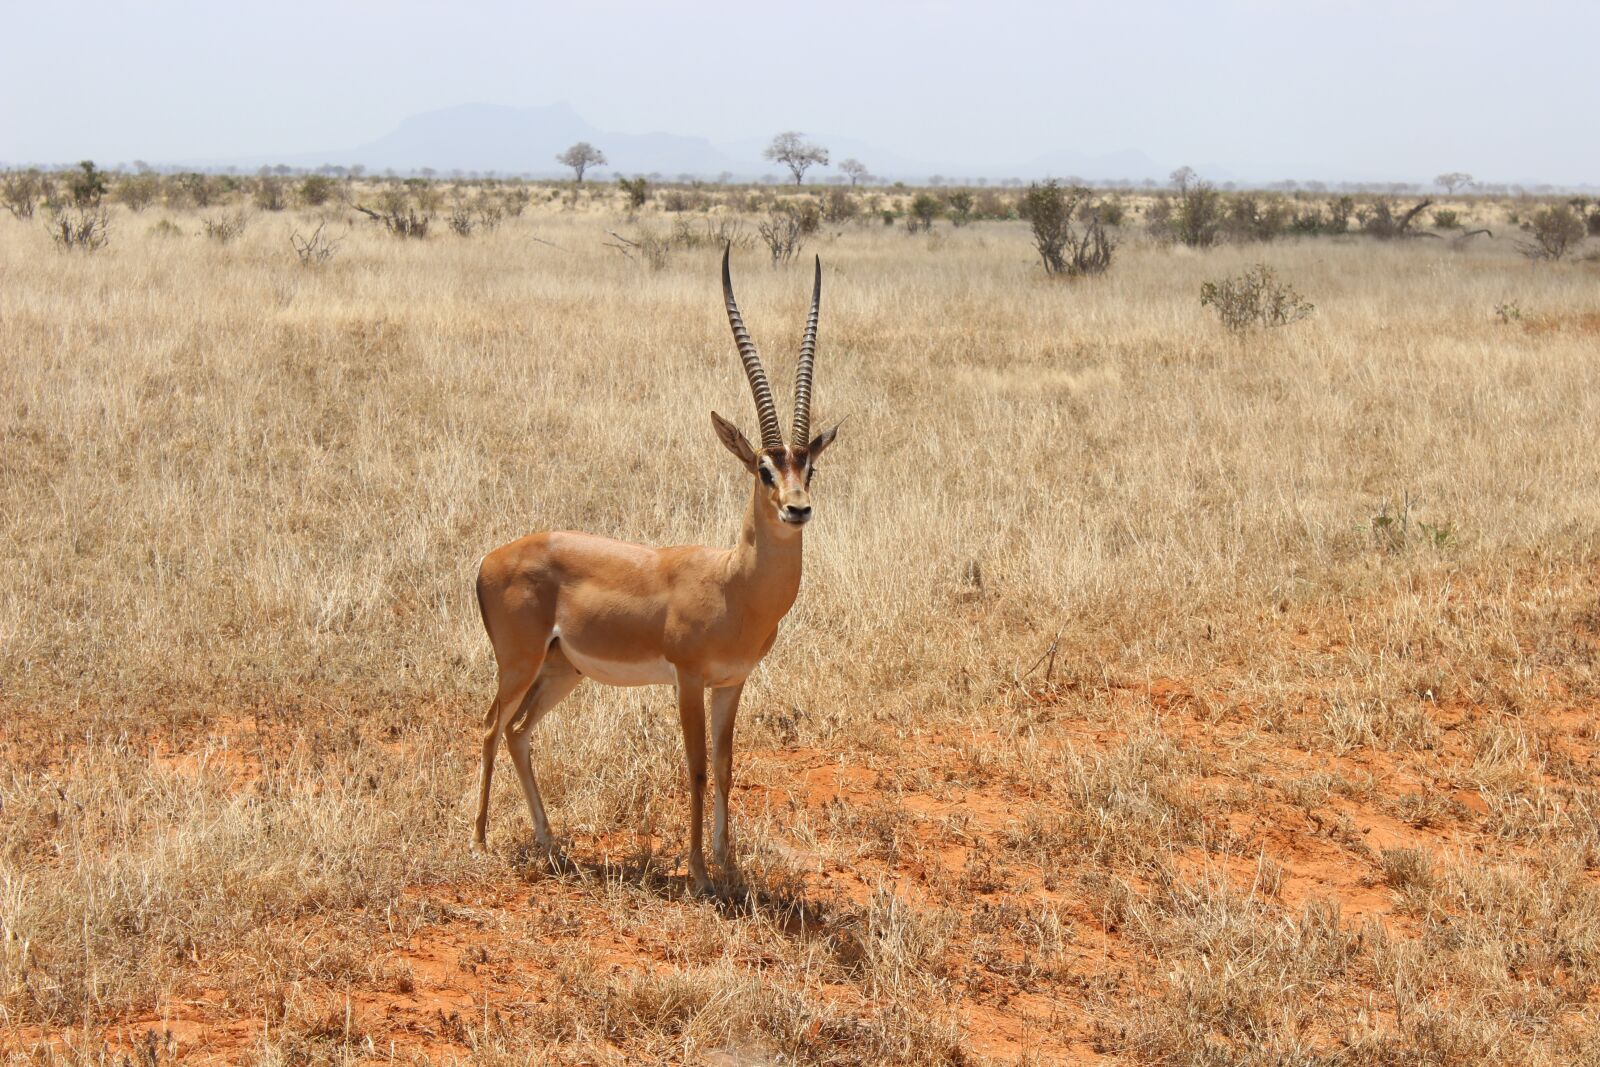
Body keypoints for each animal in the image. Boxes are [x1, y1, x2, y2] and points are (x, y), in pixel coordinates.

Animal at [472, 248, 841, 893]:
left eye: (809, 468)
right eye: (764, 470)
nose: (798, 509)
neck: (733, 587)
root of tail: (489, 560)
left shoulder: (732, 682)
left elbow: (725, 767)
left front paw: (728, 862)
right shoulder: (688, 679)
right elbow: (694, 767)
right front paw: (697, 872)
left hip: (561, 671)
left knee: (519, 734)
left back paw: (550, 844)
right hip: (517, 664)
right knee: (491, 728)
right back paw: (481, 841)